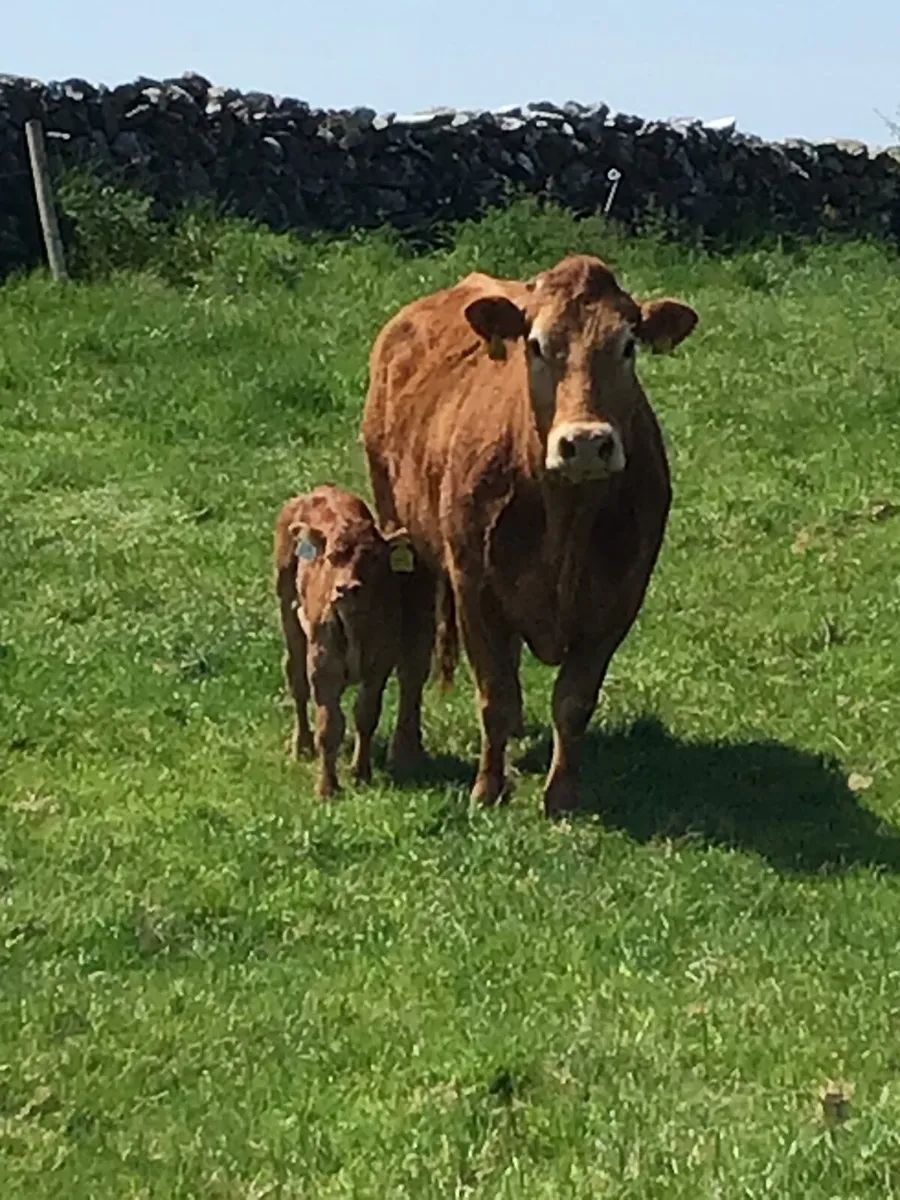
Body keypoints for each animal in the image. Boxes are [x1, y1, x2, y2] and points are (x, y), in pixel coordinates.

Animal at [273, 484, 413, 799]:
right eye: (332, 557)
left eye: (373, 558)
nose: (346, 588)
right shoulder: (324, 666)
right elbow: (330, 726)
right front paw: (327, 787)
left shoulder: (379, 665)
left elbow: (366, 715)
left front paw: (360, 773)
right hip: (288, 611)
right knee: (296, 680)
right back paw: (302, 745)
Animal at [360, 253, 698, 816]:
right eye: (536, 345)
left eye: (627, 346)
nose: (586, 443)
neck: (566, 518)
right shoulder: (473, 586)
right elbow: (493, 693)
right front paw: (488, 788)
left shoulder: (620, 600)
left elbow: (573, 700)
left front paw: (561, 795)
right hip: (404, 539)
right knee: (415, 654)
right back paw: (406, 751)